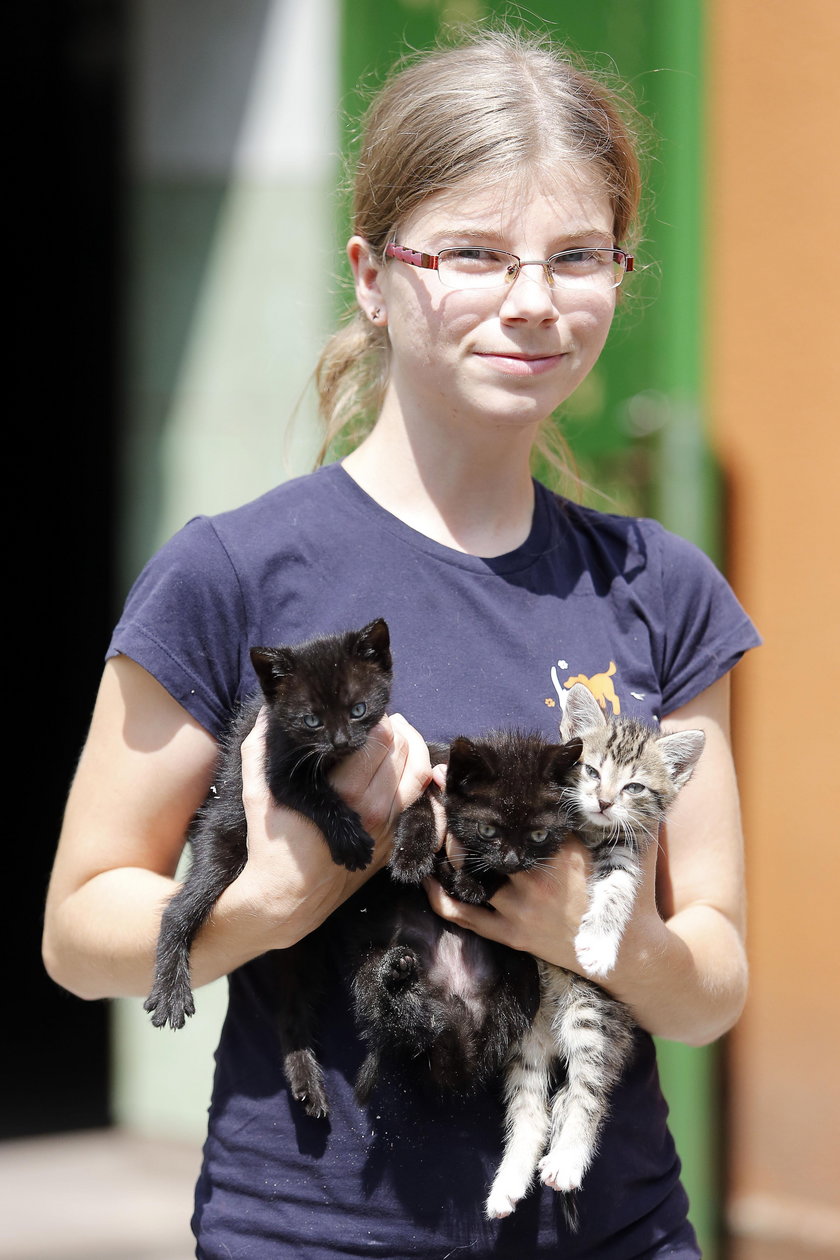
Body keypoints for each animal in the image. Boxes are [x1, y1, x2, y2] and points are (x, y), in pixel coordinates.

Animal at [145, 614, 395, 1118]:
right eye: (311, 720)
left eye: (358, 709)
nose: (341, 741)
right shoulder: (277, 769)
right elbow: (315, 795)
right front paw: (350, 840)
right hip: (221, 846)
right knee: (178, 909)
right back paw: (171, 988)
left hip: (310, 947)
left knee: (293, 1008)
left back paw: (310, 1080)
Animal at [483, 685, 705, 1224]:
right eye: (590, 770)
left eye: (634, 787)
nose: (604, 801)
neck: (590, 829)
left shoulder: (628, 851)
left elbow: (617, 892)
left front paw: (599, 944)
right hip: (526, 1032)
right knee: (530, 1109)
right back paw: (510, 1181)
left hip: (593, 1014)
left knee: (588, 1093)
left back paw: (567, 1158)